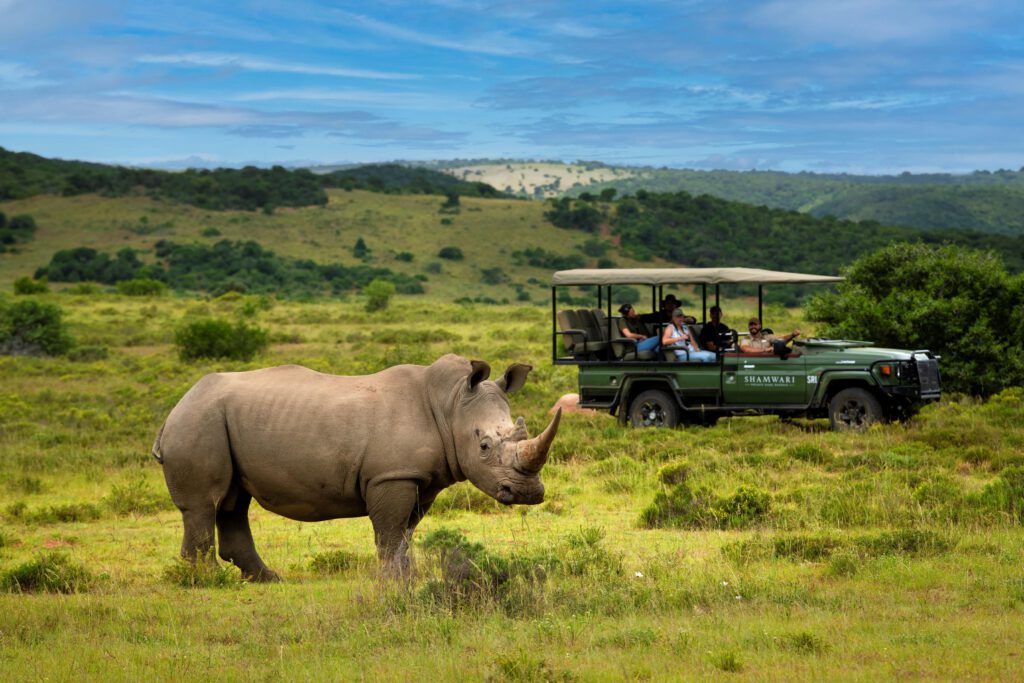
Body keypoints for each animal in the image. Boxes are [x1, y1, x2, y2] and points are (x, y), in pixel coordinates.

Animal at [151, 354, 560, 580]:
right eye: (485, 446)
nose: (527, 494)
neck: (451, 403)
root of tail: (177, 405)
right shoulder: (391, 475)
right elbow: (390, 531)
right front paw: (395, 582)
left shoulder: (420, 478)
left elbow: (406, 531)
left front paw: (407, 576)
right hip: (199, 421)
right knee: (205, 504)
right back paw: (207, 580)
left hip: (215, 420)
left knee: (233, 503)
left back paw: (268, 579)